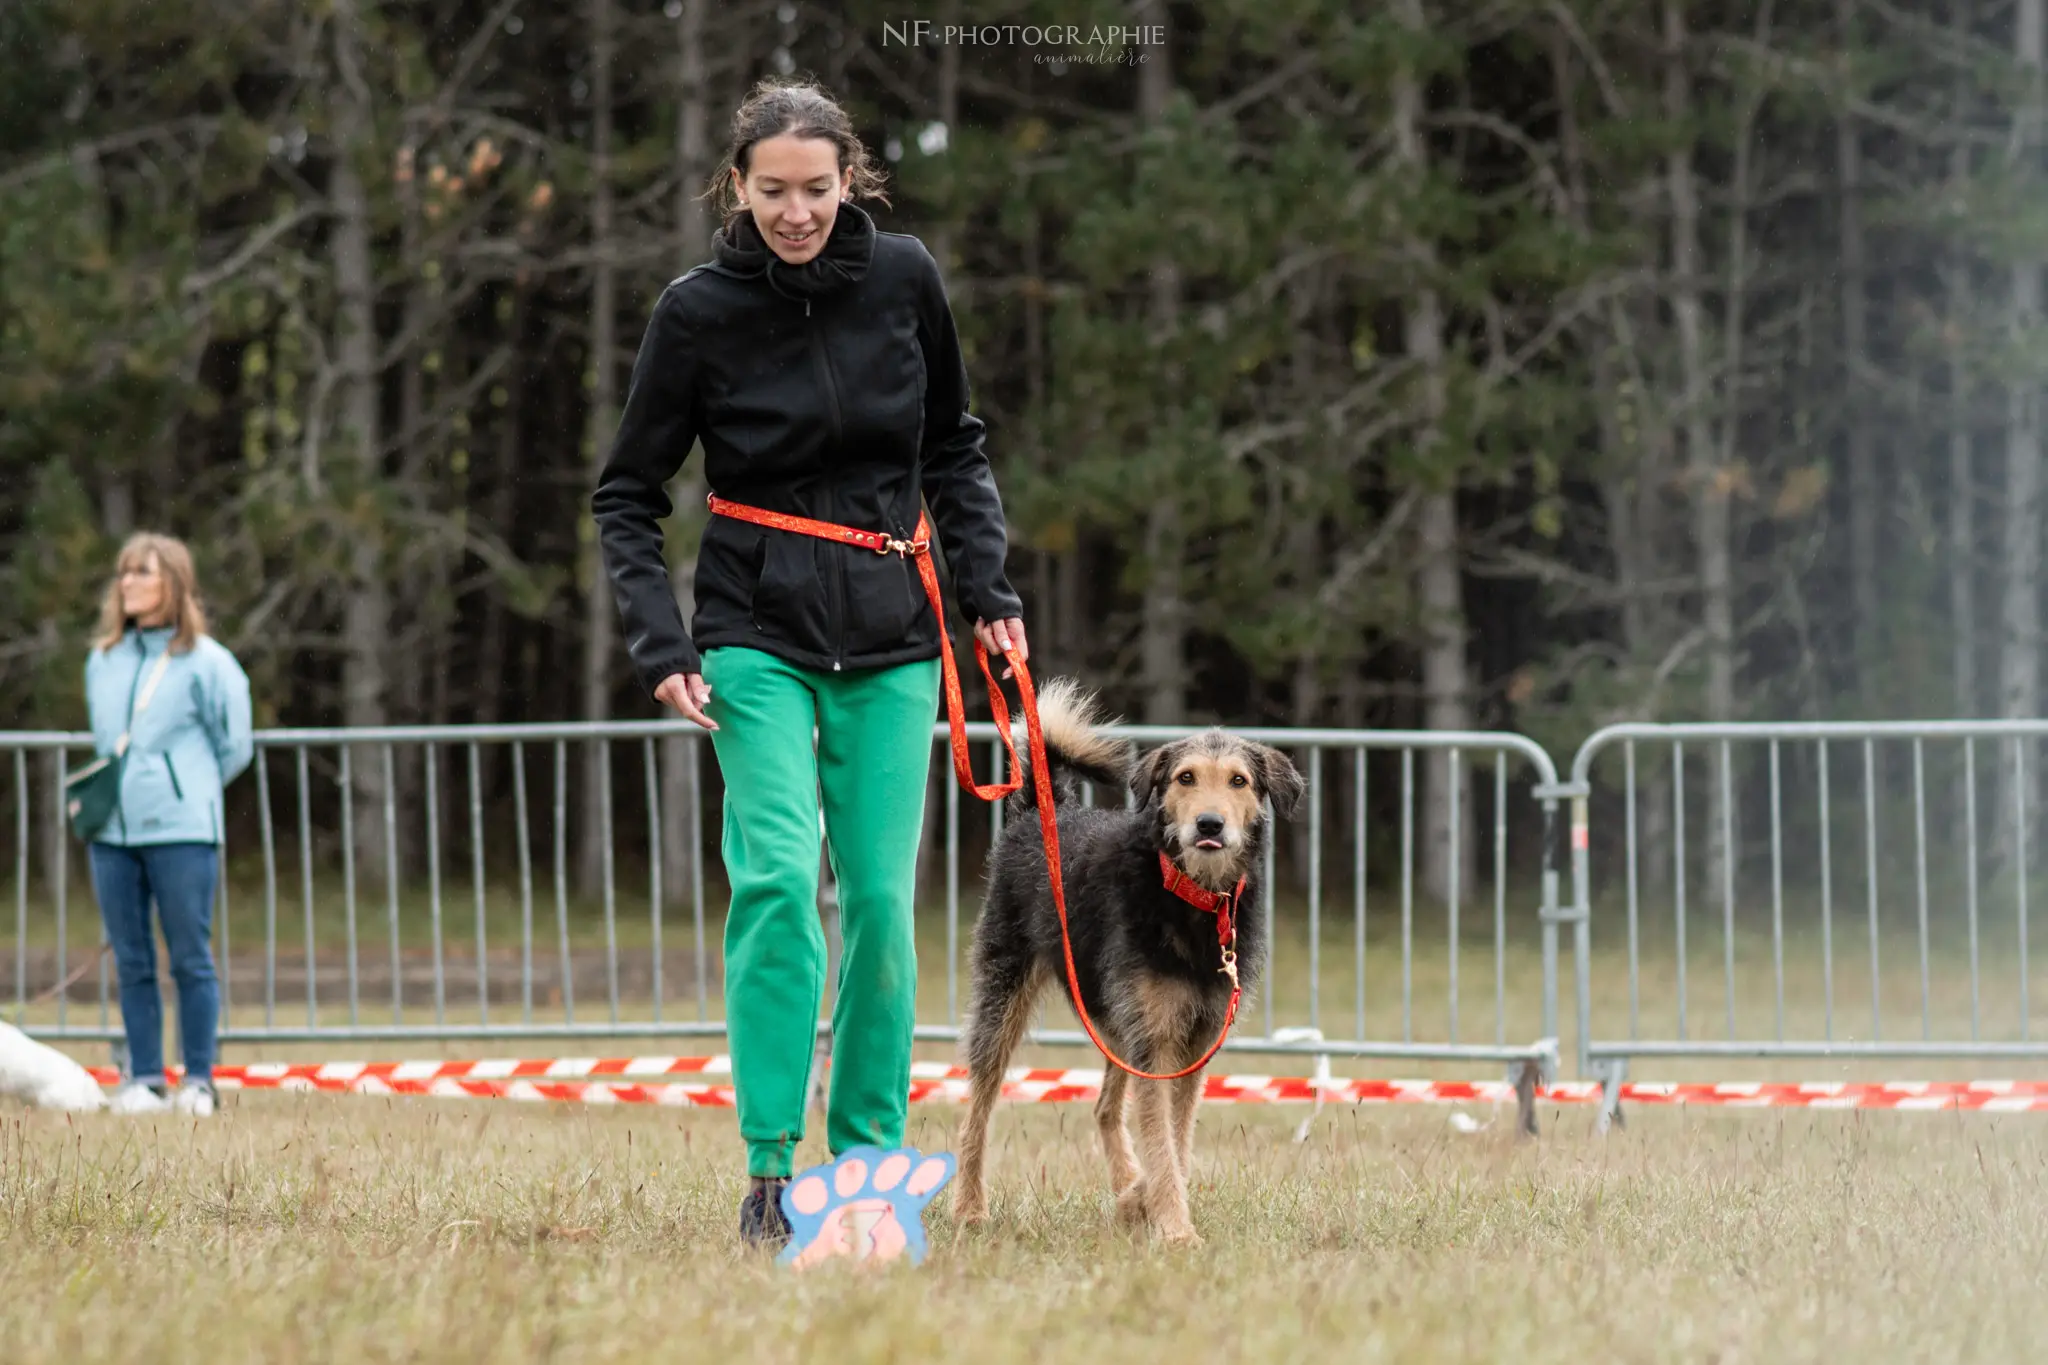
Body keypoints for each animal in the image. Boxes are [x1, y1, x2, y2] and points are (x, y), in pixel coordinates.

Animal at [950, 679, 1302, 1244]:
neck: (1189, 898)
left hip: (1114, 1014)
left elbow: (1175, 1140)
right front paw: (1176, 1230)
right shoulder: (1155, 1042)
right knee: (976, 1108)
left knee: (1104, 1107)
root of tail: (1040, 809)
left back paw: (1125, 1192)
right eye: (1185, 777)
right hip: (1005, 994)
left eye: (1239, 781)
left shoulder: (1192, 1041)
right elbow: (1163, 1142)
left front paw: (1145, 1203)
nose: (1209, 823)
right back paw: (968, 1207)